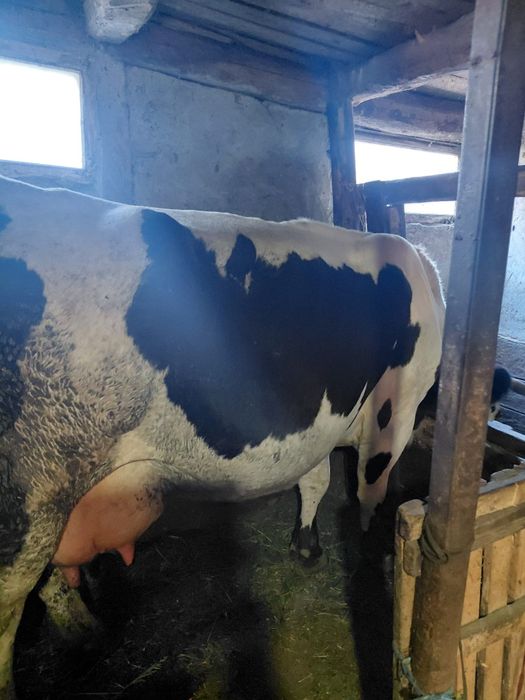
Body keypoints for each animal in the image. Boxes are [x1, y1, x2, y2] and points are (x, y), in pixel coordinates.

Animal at [0, 174, 445, 697]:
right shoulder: (393, 412)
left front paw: (306, 545)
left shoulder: (314, 421)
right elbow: (368, 492)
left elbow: (315, 481)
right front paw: (368, 560)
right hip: (27, 505)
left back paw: (87, 632)